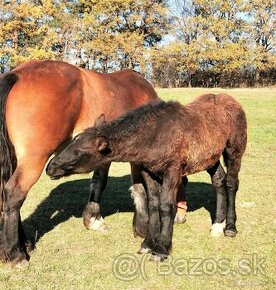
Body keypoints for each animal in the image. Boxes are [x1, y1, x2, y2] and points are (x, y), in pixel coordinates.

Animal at [0, 59, 168, 268]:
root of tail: (18, 74)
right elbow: (139, 187)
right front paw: (141, 226)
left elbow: (98, 182)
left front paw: (92, 217)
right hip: (33, 160)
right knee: (14, 194)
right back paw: (16, 254)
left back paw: (24, 244)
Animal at [46, 94, 247, 262]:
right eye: (71, 144)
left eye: (79, 153)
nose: (50, 168)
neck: (155, 135)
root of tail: (232, 100)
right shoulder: (148, 171)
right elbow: (153, 204)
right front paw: (148, 243)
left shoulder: (173, 169)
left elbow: (166, 205)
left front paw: (161, 248)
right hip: (209, 158)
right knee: (219, 180)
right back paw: (217, 224)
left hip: (234, 151)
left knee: (231, 183)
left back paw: (230, 227)